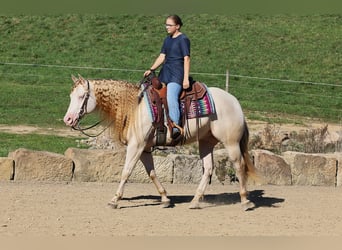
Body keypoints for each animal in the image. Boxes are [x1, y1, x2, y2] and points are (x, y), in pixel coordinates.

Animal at [62, 74, 258, 211]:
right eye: (70, 96)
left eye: (82, 96)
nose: (68, 119)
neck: (134, 108)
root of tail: (234, 101)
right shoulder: (145, 148)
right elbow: (152, 173)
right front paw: (165, 198)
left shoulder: (136, 146)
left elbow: (126, 172)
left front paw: (115, 200)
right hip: (206, 141)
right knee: (209, 169)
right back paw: (195, 201)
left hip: (231, 142)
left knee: (239, 166)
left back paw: (245, 201)